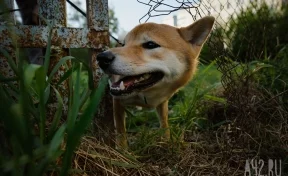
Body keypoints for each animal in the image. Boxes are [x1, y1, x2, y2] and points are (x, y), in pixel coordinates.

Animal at [96, 15, 214, 148]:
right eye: (124, 44)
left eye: (150, 44)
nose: (102, 58)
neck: (149, 93)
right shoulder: (117, 100)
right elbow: (121, 131)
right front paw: (122, 150)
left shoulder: (162, 102)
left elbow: (164, 123)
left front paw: (166, 141)